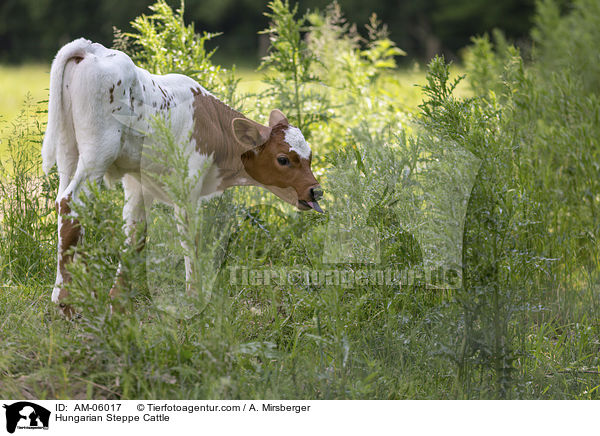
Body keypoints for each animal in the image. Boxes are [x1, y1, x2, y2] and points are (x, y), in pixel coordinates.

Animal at [42, 39, 324, 316]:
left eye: (310, 156)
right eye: (283, 159)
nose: (316, 191)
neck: (212, 122)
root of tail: (91, 48)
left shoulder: (138, 184)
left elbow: (136, 236)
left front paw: (118, 301)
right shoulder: (188, 187)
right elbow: (191, 238)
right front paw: (194, 295)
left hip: (69, 152)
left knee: (64, 210)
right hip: (98, 153)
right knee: (72, 203)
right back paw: (65, 299)